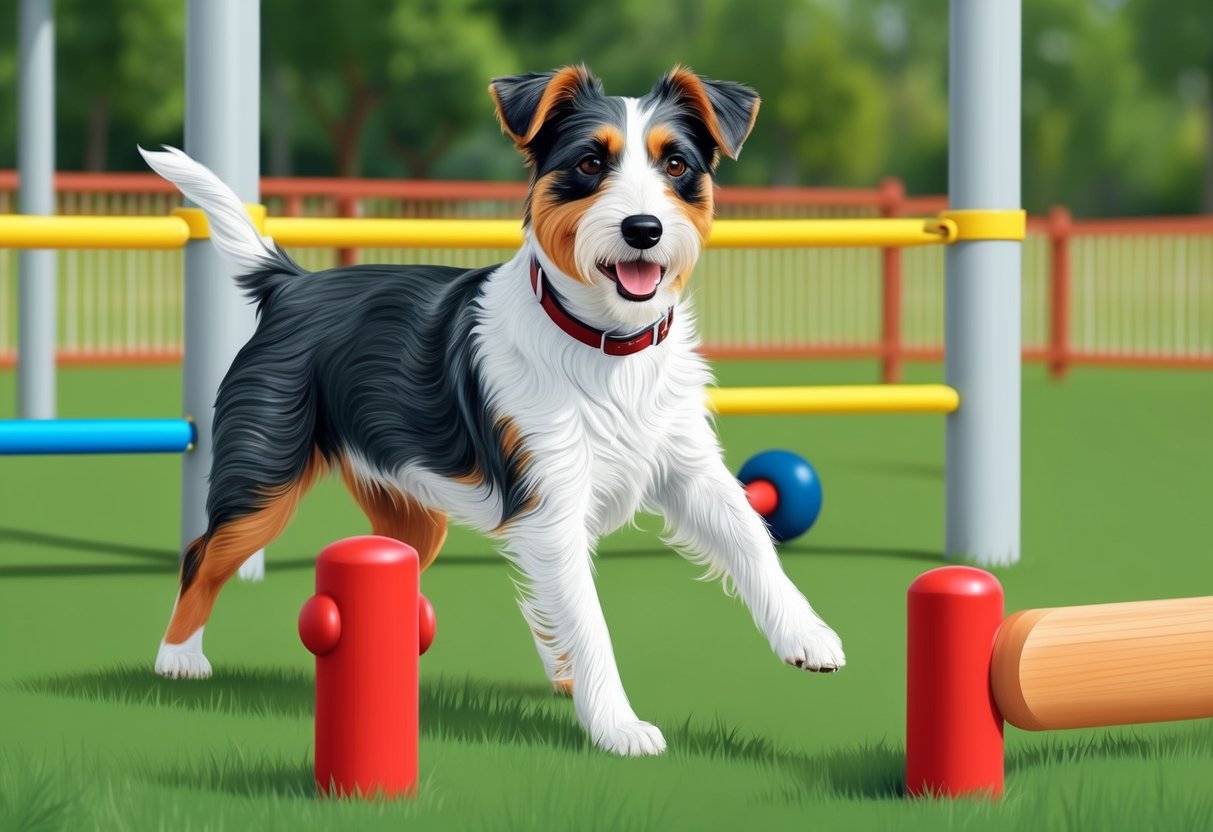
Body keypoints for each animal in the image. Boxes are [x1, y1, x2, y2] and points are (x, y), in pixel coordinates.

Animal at [141, 63, 844, 756]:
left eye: (676, 164)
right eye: (590, 162)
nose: (643, 229)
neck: (607, 345)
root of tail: (290, 283)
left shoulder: (689, 470)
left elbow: (751, 537)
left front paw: (806, 635)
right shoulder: (551, 506)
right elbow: (590, 619)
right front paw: (618, 726)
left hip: (411, 517)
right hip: (264, 479)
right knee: (203, 556)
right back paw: (178, 658)